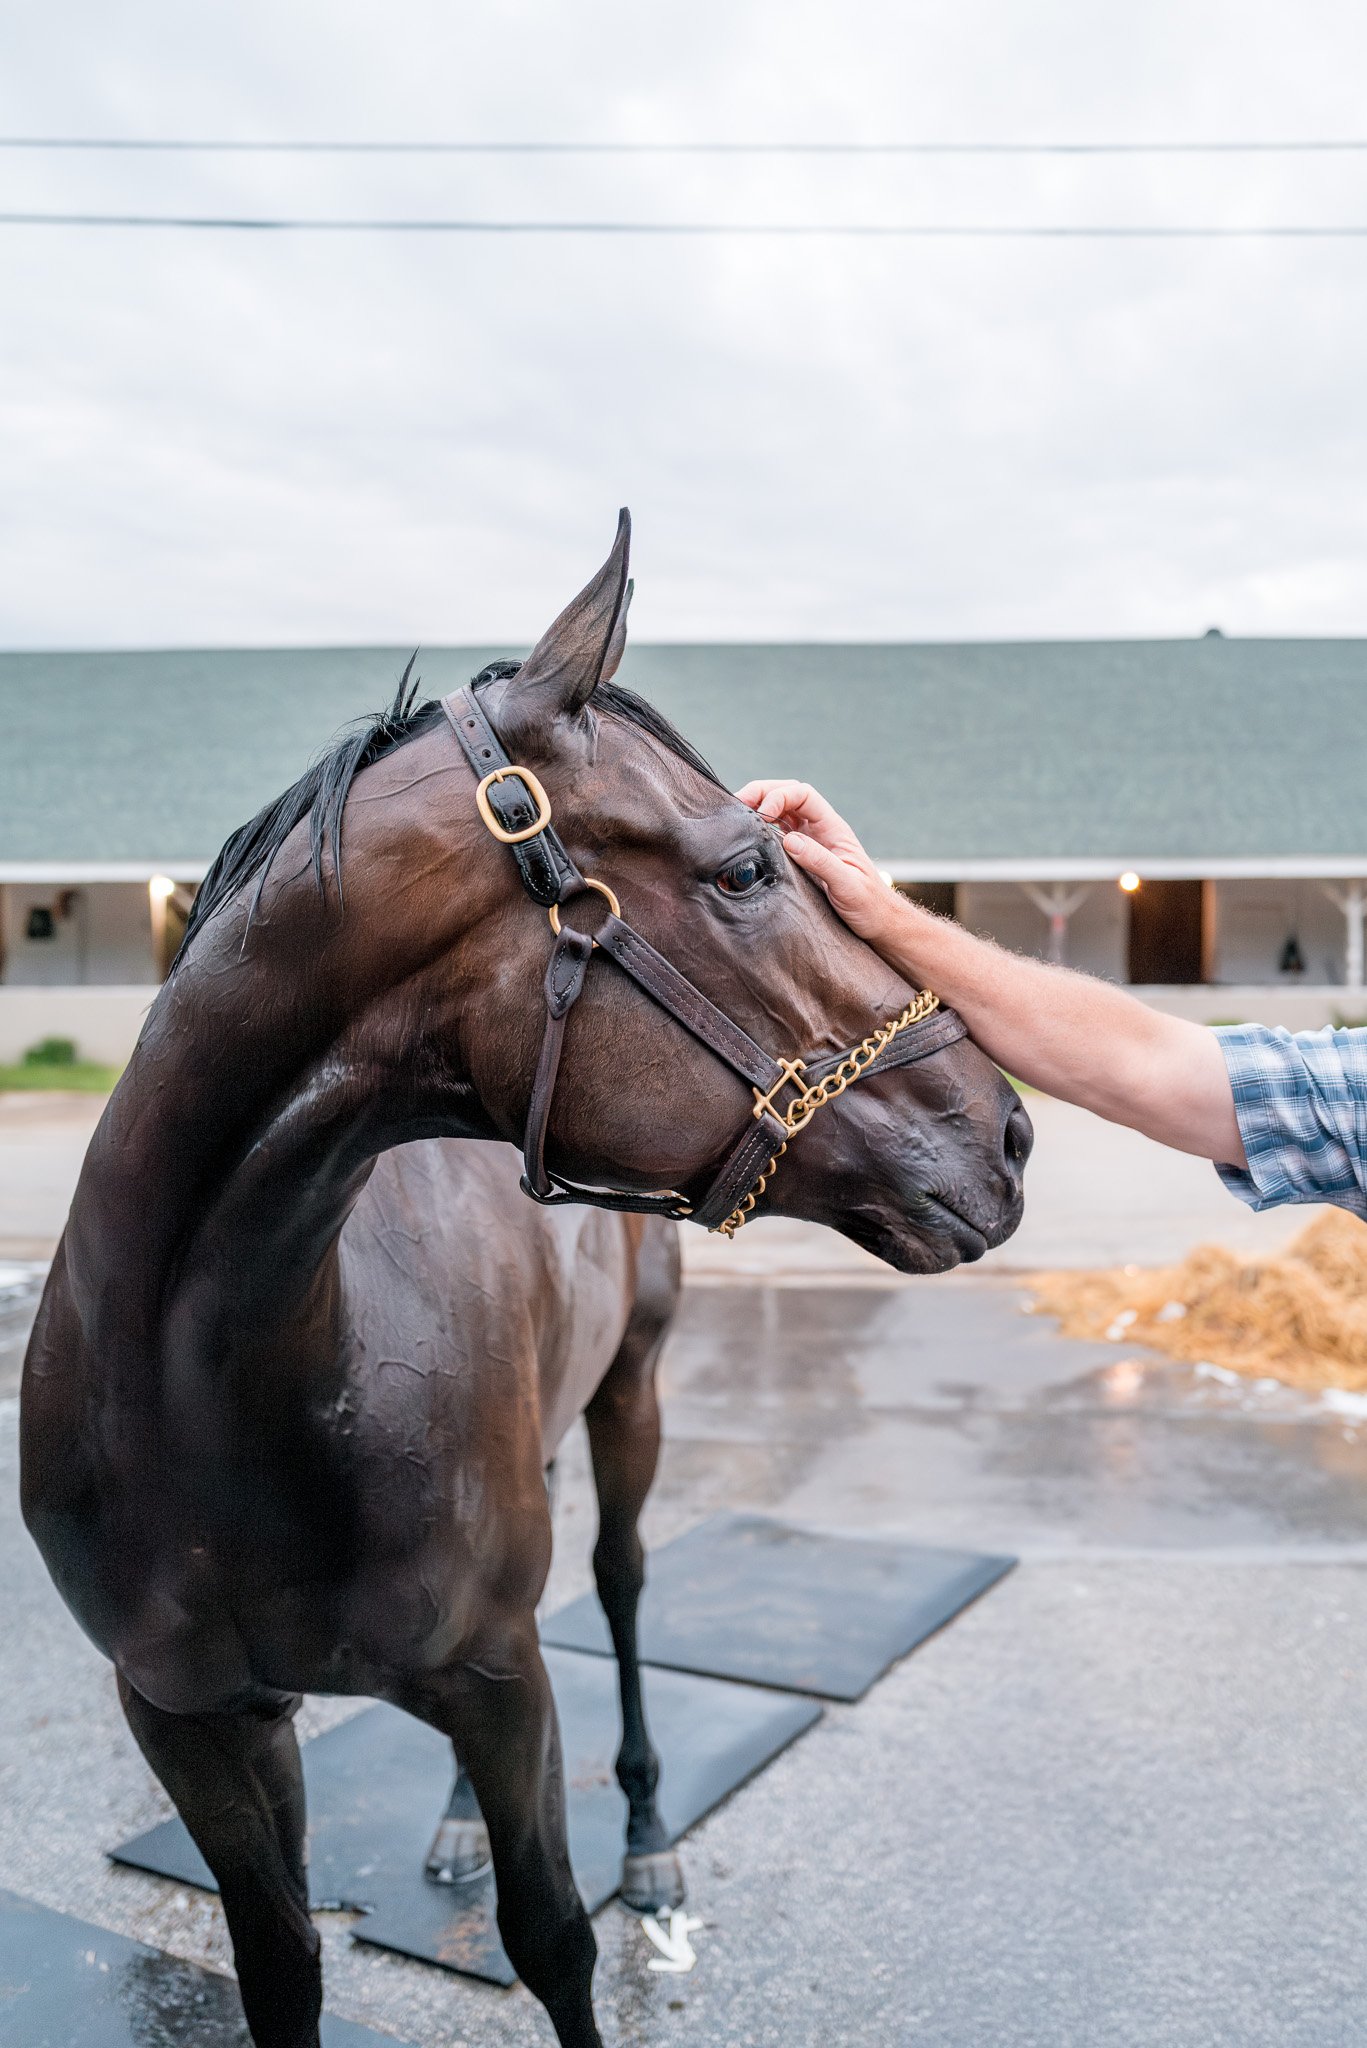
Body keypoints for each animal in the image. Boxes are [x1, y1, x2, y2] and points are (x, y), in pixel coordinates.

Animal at [20, 511, 1030, 2048]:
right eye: (745, 869)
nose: (1006, 1131)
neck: (218, 1393)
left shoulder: (502, 1684)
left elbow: (551, 1934)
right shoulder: (193, 1719)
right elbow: (280, 1970)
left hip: (631, 1400)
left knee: (616, 1587)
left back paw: (651, 1841)